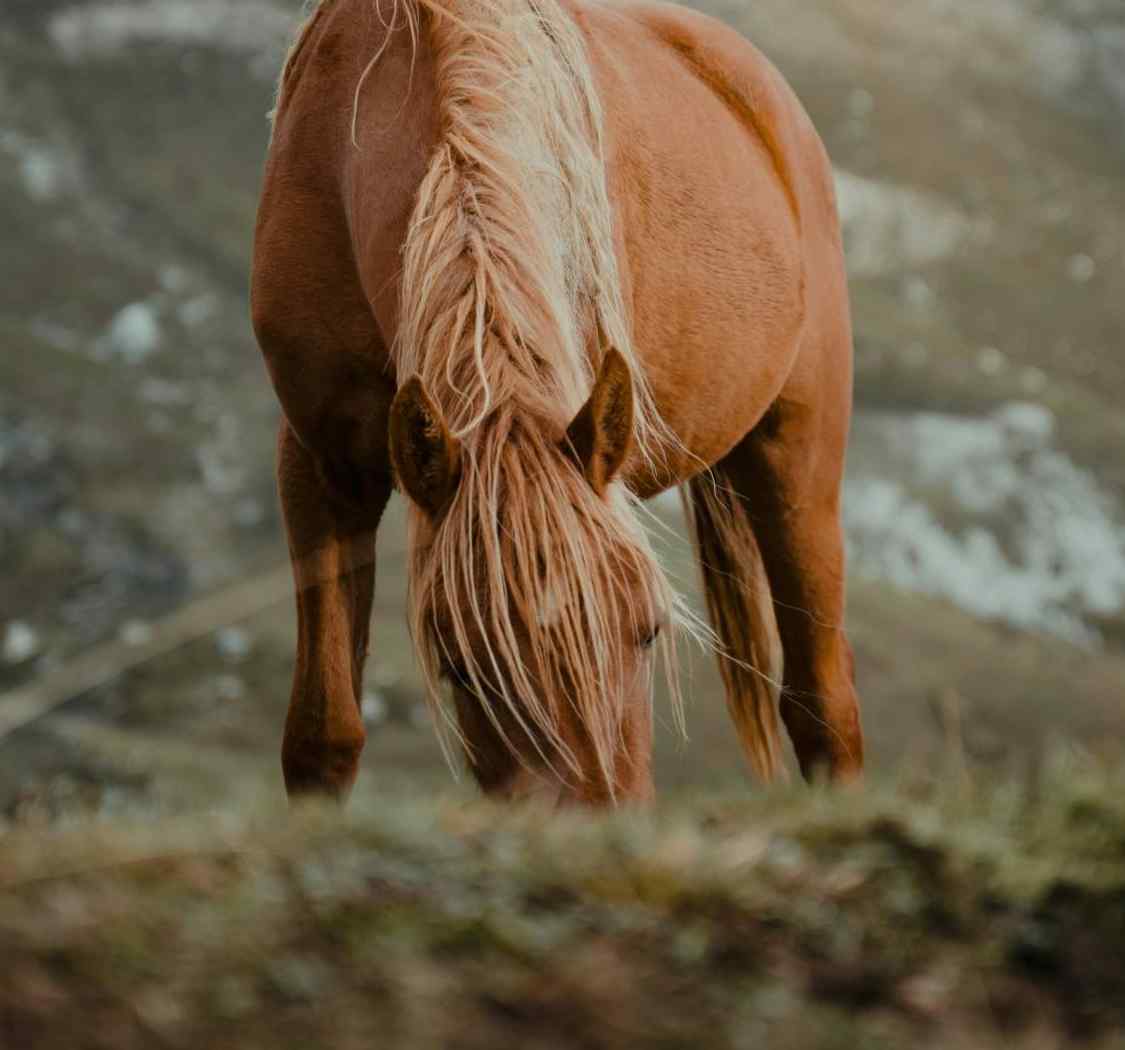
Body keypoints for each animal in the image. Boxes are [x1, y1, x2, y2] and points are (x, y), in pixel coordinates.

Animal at [250, 0, 859, 801]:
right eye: (461, 667)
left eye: (647, 630)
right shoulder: (321, 464)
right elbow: (323, 734)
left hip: (797, 461)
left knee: (823, 709)